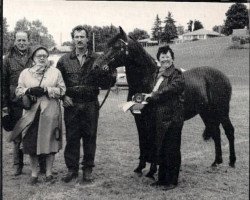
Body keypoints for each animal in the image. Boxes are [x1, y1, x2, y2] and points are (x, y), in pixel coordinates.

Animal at [93, 27, 235, 177]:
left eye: (117, 46)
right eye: (107, 45)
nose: (96, 66)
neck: (148, 80)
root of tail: (223, 76)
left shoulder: (153, 120)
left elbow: (154, 143)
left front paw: (152, 170)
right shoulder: (139, 119)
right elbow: (143, 142)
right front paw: (139, 168)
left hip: (222, 111)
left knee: (229, 131)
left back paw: (231, 162)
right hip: (206, 113)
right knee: (216, 132)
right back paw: (216, 162)